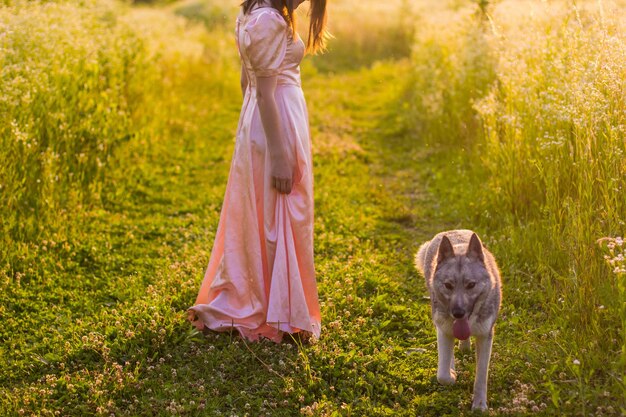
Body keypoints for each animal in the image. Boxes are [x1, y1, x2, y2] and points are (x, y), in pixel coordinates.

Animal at [414, 229, 502, 412]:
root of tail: (451, 231)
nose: (458, 313)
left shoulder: (485, 336)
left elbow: (481, 375)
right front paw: (452, 375)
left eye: (471, 285)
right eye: (448, 285)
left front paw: (479, 405)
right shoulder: (443, 329)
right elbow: (442, 374)